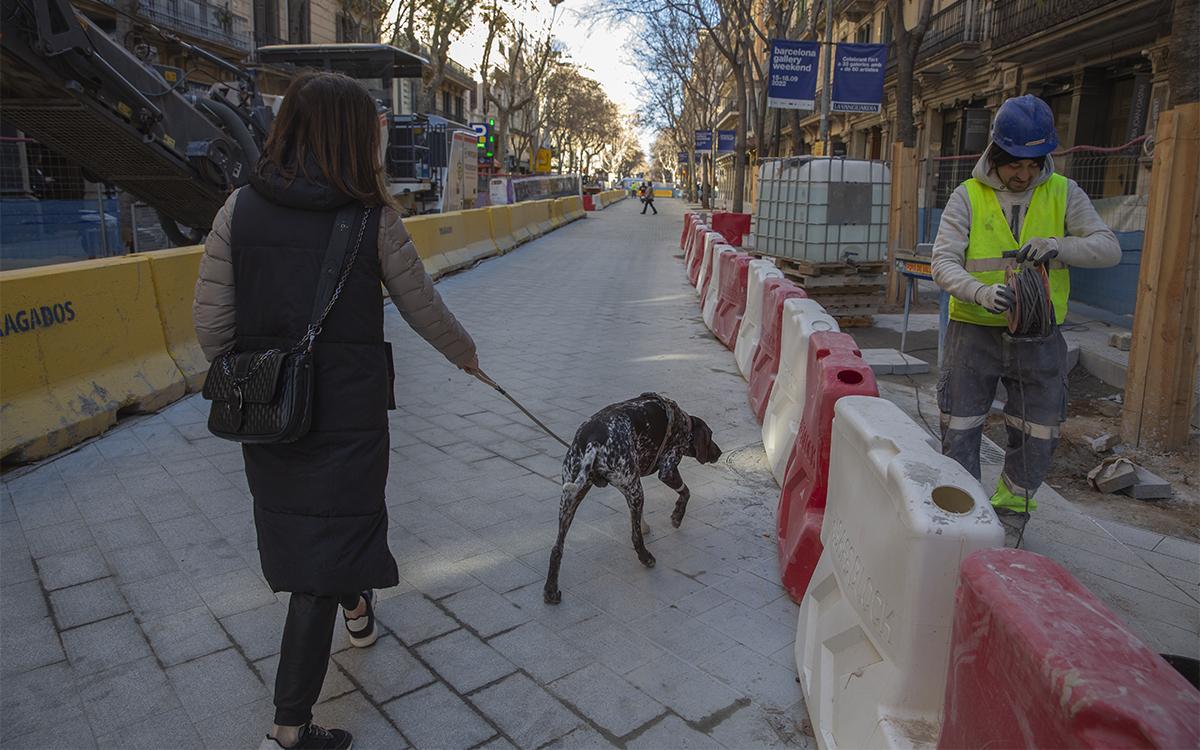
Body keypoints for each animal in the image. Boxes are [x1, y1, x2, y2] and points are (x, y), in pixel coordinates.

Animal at [544, 391, 720, 602]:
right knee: (635, 538)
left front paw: (646, 524)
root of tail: (594, 441)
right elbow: (686, 492)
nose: (719, 453)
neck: (684, 422)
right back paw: (646, 558)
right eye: (711, 436)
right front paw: (677, 516)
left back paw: (551, 590)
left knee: (557, 549)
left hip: (570, 499)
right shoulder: (667, 469)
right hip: (634, 491)